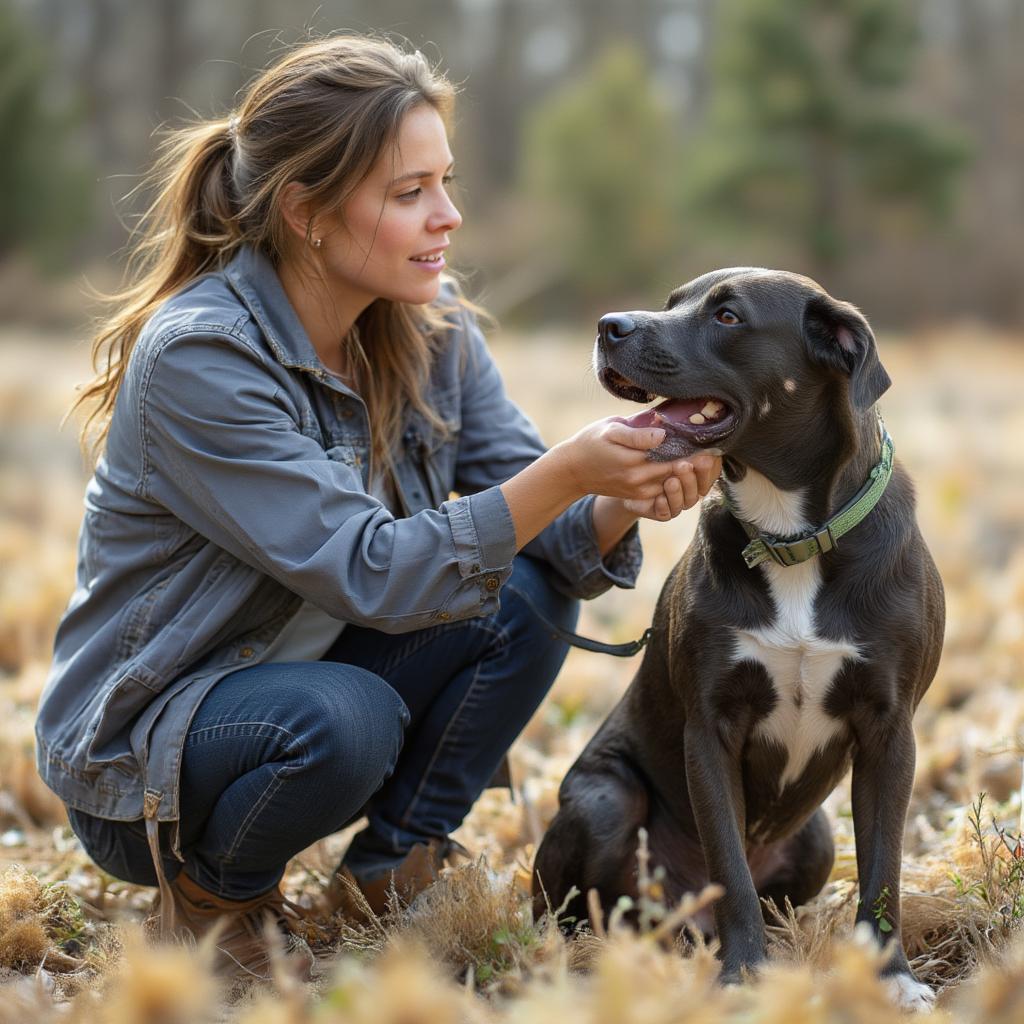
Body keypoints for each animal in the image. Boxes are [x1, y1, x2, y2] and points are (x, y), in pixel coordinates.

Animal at [536, 268, 942, 1011]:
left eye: (727, 316)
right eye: (672, 302)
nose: (609, 326)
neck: (790, 535)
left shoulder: (890, 730)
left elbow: (884, 869)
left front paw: (892, 979)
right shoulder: (711, 728)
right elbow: (731, 870)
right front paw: (743, 975)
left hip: (814, 839)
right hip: (605, 802)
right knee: (572, 907)